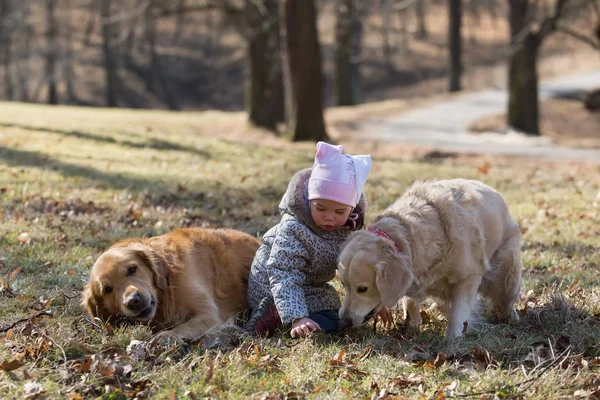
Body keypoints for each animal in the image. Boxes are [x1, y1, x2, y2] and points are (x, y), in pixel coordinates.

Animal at [83, 228, 262, 340]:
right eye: (107, 289)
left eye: (132, 269)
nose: (133, 301)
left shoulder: (209, 315)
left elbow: (182, 328)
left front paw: (166, 336)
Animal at [340, 180, 524, 340]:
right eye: (344, 285)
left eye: (362, 289)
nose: (345, 320)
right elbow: (410, 302)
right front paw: (413, 325)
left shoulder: (468, 278)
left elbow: (458, 314)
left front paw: (452, 340)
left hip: (507, 277)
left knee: (506, 300)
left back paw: (512, 317)